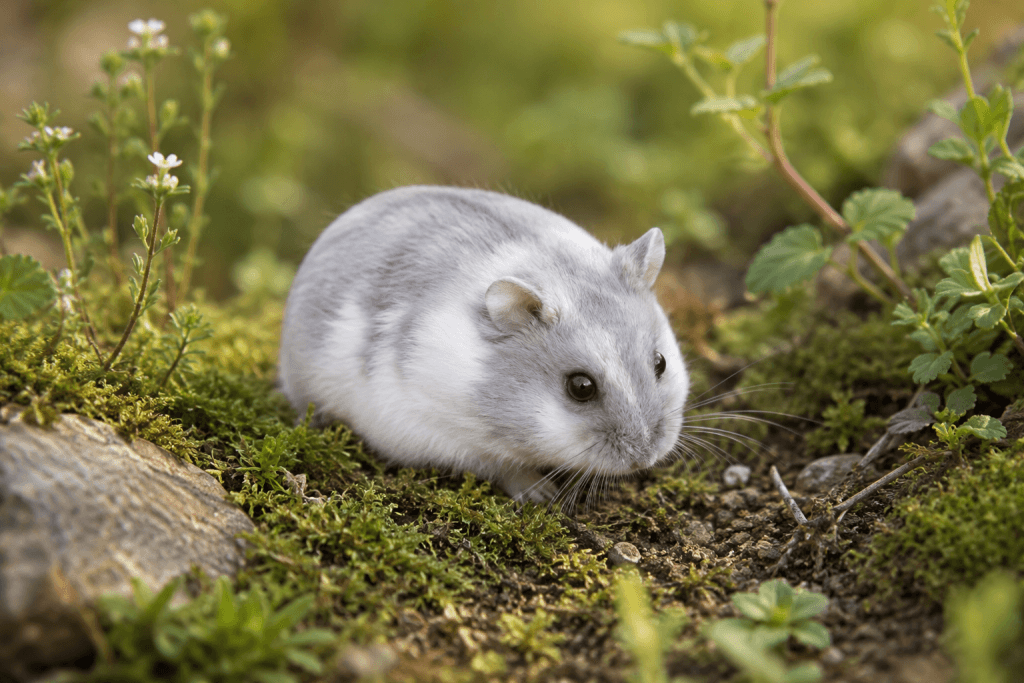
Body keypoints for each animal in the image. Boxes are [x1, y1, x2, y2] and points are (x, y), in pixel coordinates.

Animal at [278, 186, 689, 503]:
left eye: (661, 363)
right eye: (580, 387)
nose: (646, 457)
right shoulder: (433, 429)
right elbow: (503, 466)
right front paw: (543, 495)